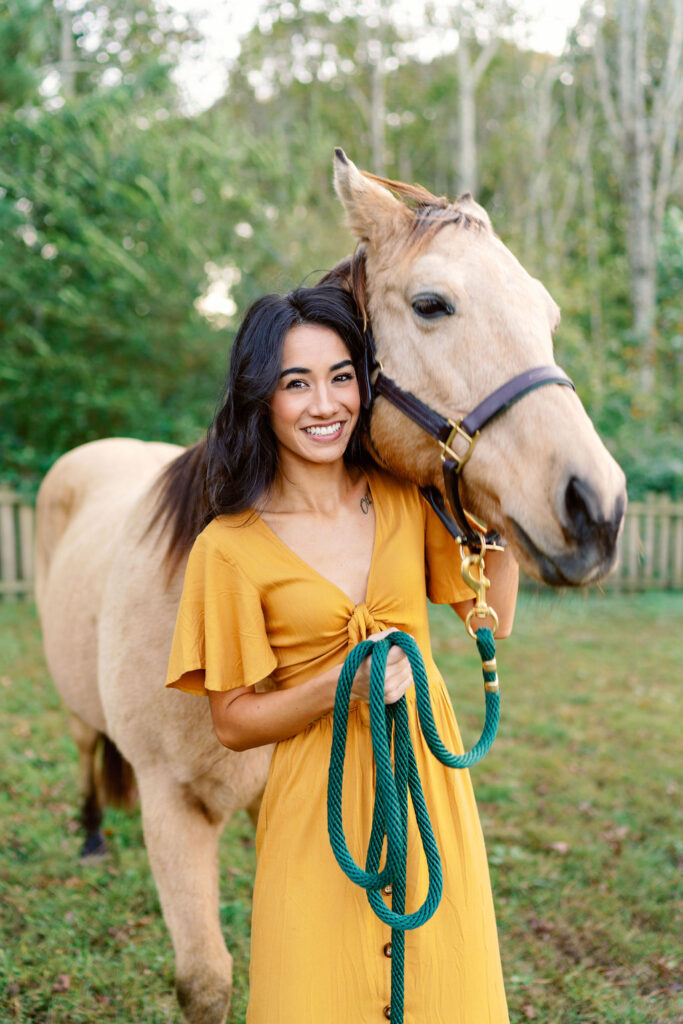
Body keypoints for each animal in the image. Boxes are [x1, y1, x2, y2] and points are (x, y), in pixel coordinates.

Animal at [36, 146, 626, 1024]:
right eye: (431, 304)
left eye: (545, 315)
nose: (597, 508)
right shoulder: (171, 807)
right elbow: (206, 980)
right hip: (80, 715)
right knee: (83, 753)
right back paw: (88, 837)